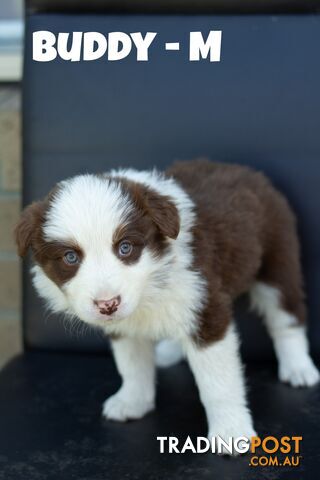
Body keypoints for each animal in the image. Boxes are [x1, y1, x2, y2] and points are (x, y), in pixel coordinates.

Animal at [15, 159, 320, 452]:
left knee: (287, 317)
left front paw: (230, 431)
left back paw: (298, 368)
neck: (150, 284)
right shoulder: (127, 325)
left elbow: (218, 382)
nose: (107, 305)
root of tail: (250, 172)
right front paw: (133, 401)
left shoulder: (206, 307)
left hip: (277, 260)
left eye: (125, 248)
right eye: (70, 257)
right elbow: (132, 364)